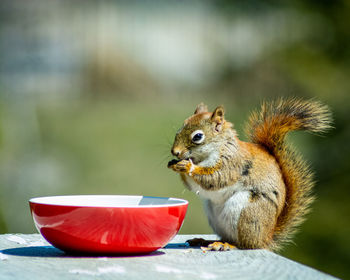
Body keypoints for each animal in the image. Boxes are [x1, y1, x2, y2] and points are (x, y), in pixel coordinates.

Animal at [168, 99, 332, 252]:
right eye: (178, 131)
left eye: (197, 136)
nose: (175, 152)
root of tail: (265, 238)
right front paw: (174, 164)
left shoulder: (232, 164)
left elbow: (215, 178)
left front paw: (188, 166)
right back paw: (205, 241)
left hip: (247, 213)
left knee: (245, 244)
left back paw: (227, 245)